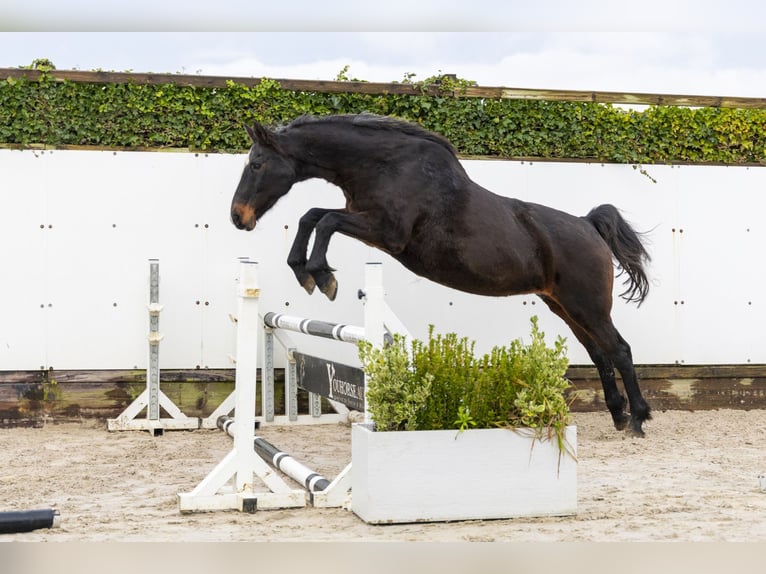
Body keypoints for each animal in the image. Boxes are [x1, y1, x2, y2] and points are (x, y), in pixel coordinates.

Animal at [230, 113, 652, 436]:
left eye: (257, 164)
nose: (238, 217)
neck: (383, 166)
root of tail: (588, 225)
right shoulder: (366, 223)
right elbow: (313, 216)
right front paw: (305, 272)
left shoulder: (386, 233)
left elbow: (326, 220)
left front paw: (321, 276)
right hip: (562, 306)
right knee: (600, 354)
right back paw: (618, 416)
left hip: (587, 306)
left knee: (619, 350)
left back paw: (638, 420)